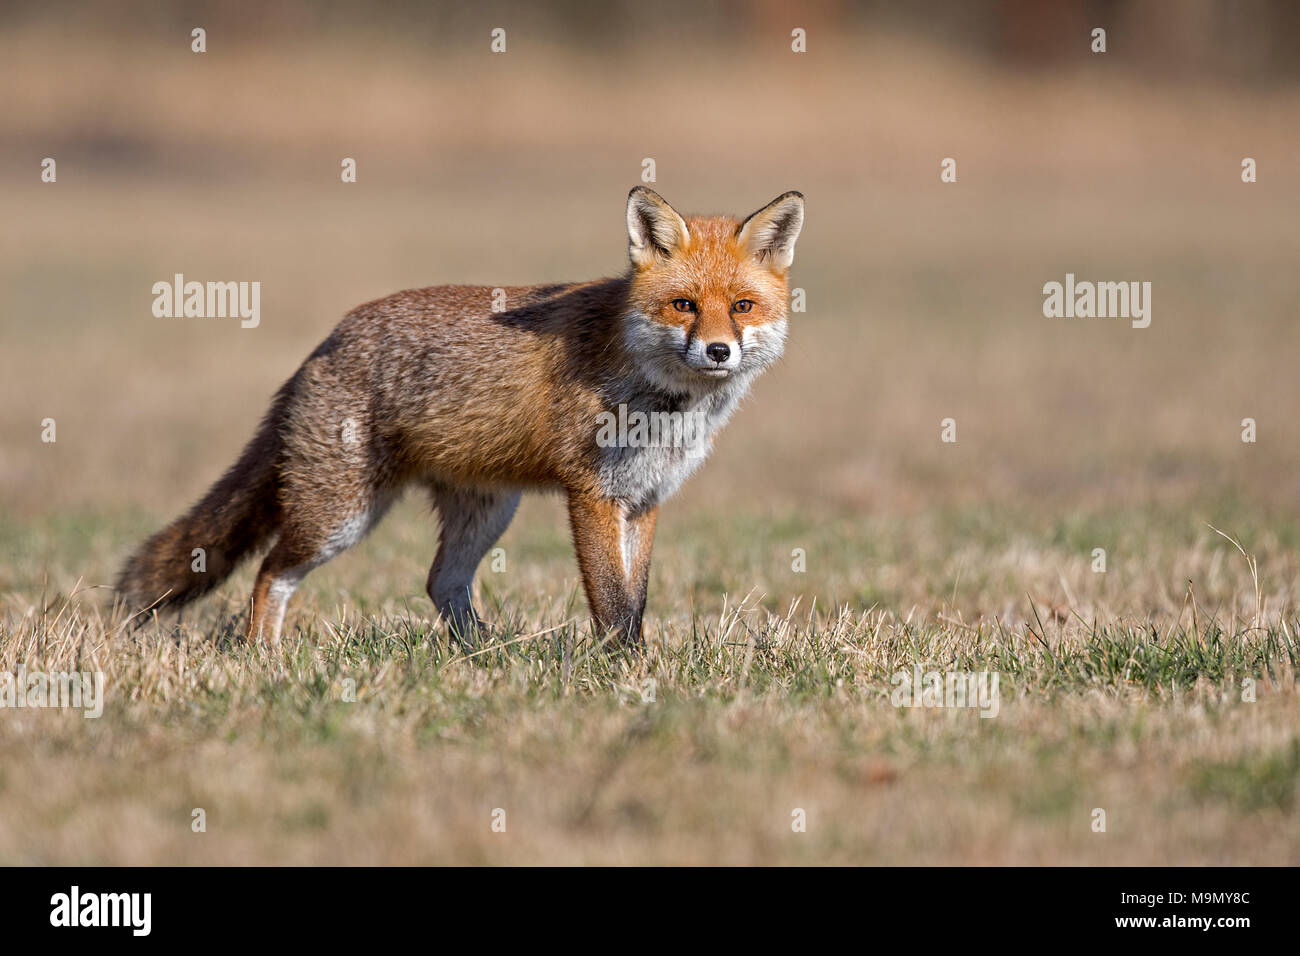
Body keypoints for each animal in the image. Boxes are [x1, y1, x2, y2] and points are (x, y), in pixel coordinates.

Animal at [116, 187, 800, 647]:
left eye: (742, 307)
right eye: (684, 305)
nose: (719, 351)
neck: (665, 404)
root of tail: (326, 341)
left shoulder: (645, 498)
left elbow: (636, 601)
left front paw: (633, 665)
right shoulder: (593, 494)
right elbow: (612, 605)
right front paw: (623, 673)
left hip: (488, 511)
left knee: (440, 583)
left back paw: (484, 654)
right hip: (340, 515)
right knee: (269, 573)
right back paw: (264, 657)